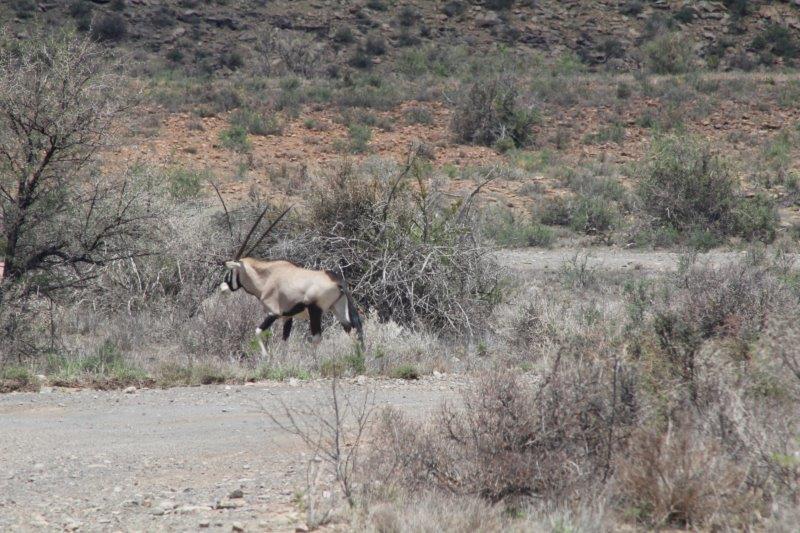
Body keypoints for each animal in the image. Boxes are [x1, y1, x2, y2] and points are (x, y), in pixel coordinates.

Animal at [216, 200, 364, 356]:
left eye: (230, 271)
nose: (223, 288)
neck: (266, 277)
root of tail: (337, 281)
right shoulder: (287, 317)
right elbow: (284, 340)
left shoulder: (273, 313)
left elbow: (258, 332)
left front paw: (266, 357)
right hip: (338, 308)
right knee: (353, 330)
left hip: (315, 310)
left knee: (317, 337)